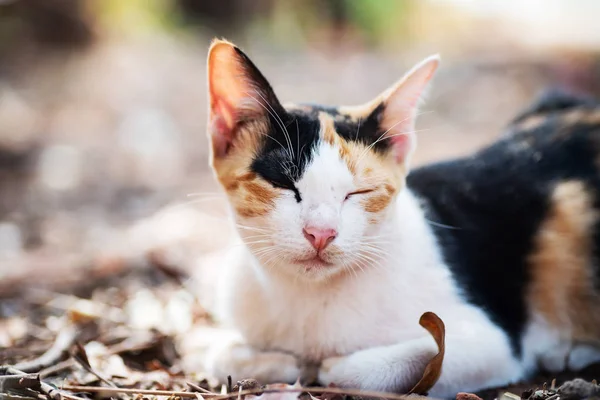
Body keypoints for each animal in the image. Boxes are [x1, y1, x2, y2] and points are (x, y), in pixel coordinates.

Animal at [199, 36, 600, 396]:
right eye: (282, 183)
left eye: (357, 193)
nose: (321, 233)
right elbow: (219, 356)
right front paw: (283, 361)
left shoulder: (495, 343)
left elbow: (414, 356)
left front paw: (329, 367)